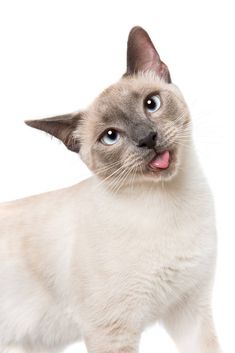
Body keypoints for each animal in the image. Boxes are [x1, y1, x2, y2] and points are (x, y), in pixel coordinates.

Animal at [0, 26, 221, 352]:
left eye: (151, 104)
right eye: (111, 137)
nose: (147, 138)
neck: (168, 204)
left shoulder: (190, 309)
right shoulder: (113, 332)